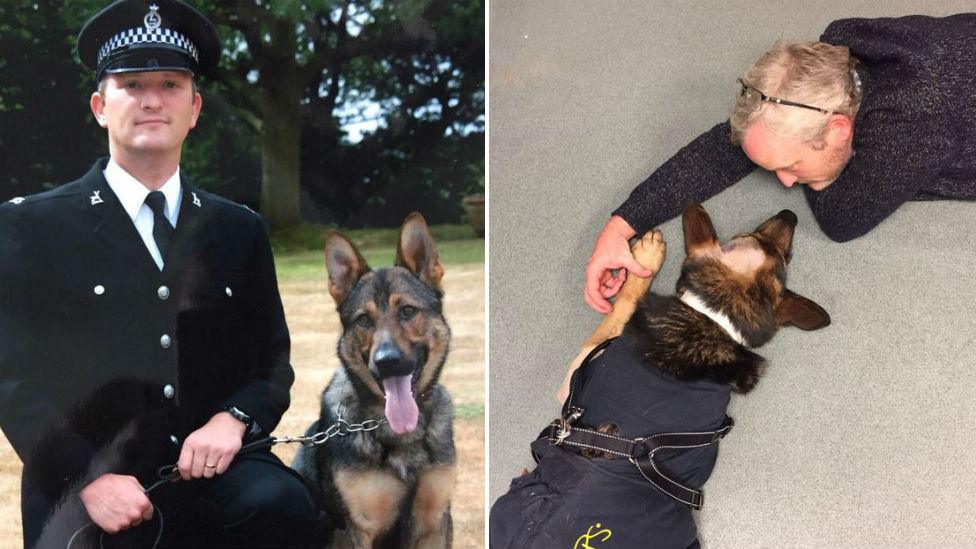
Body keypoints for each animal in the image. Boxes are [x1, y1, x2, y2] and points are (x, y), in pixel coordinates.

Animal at [488, 204, 832, 548]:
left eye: (746, 235)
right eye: (780, 253)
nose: (791, 213)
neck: (715, 317)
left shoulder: (579, 366)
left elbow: (624, 304)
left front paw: (645, 256)